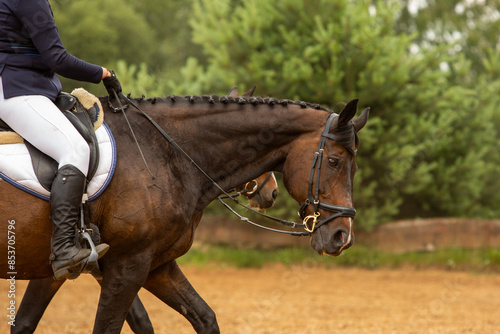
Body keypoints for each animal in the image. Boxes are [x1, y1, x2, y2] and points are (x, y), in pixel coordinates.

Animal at [0, 90, 368, 332]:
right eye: (334, 162)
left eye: (353, 165)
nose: (342, 237)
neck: (163, 153)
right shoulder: (125, 265)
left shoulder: (155, 265)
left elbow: (203, 318)